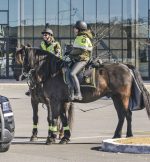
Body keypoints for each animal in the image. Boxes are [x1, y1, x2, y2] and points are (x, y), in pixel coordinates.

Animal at [14, 45, 150, 142]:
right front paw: (65, 137)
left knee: (127, 114)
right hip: (116, 97)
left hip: (123, 97)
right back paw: (117, 135)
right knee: (122, 115)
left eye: (23, 59)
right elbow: (63, 118)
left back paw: (128, 135)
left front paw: (51, 138)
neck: (52, 72)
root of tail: (125, 66)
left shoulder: (53, 101)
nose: (20, 76)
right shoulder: (61, 101)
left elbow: (53, 118)